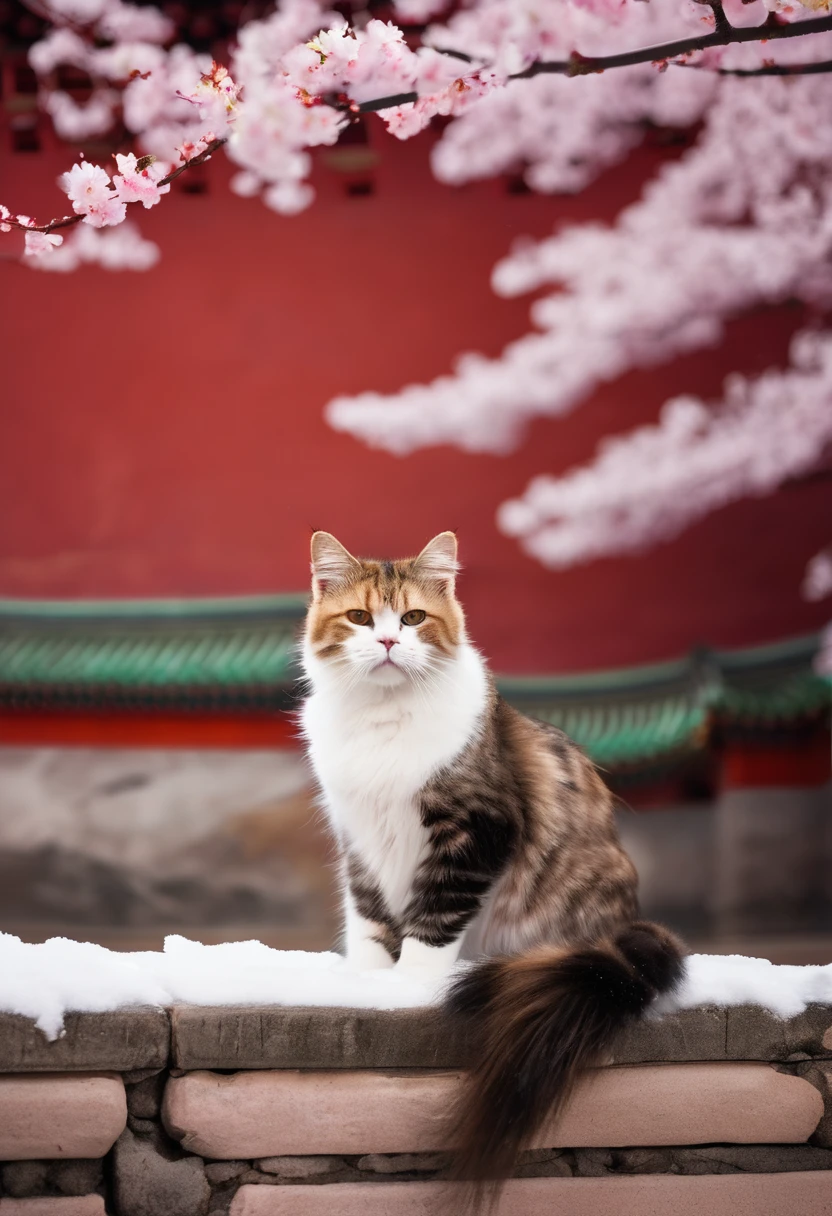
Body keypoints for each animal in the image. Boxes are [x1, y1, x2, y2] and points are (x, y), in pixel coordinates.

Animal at [299, 530, 681, 1186]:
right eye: (359, 618)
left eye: (413, 618)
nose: (388, 641)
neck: (380, 719)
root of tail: (622, 928)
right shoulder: (359, 839)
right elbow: (369, 920)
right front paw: (367, 985)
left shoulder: (477, 828)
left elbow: (431, 922)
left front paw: (408, 989)